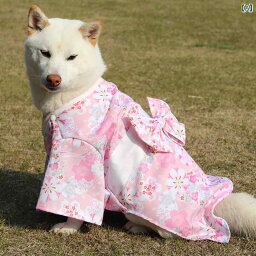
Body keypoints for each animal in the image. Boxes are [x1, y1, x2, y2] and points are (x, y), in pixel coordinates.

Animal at [24, 6, 256, 242]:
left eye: (72, 57)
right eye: (44, 53)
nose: (53, 79)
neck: (75, 94)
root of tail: (210, 205)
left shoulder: (79, 151)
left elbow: (76, 201)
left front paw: (69, 226)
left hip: (134, 206)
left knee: (163, 232)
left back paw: (135, 227)